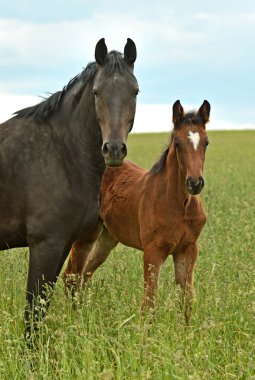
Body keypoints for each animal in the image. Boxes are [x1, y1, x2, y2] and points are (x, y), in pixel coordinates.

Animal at [0, 37, 138, 338]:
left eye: (135, 91)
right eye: (97, 92)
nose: (113, 149)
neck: (61, 151)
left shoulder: (63, 244)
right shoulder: (45, 244)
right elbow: (33, 313)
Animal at [64, 99, 211, 322]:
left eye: (206, 142)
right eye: (177, 143)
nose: (195, 183)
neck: (180, 205)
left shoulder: (187, 250)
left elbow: (187, 300)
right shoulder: (152, 252)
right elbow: (149, 303)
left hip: (107, 238)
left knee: (85, 274)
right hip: (86, 235)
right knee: (71, 276)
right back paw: (72, 319)